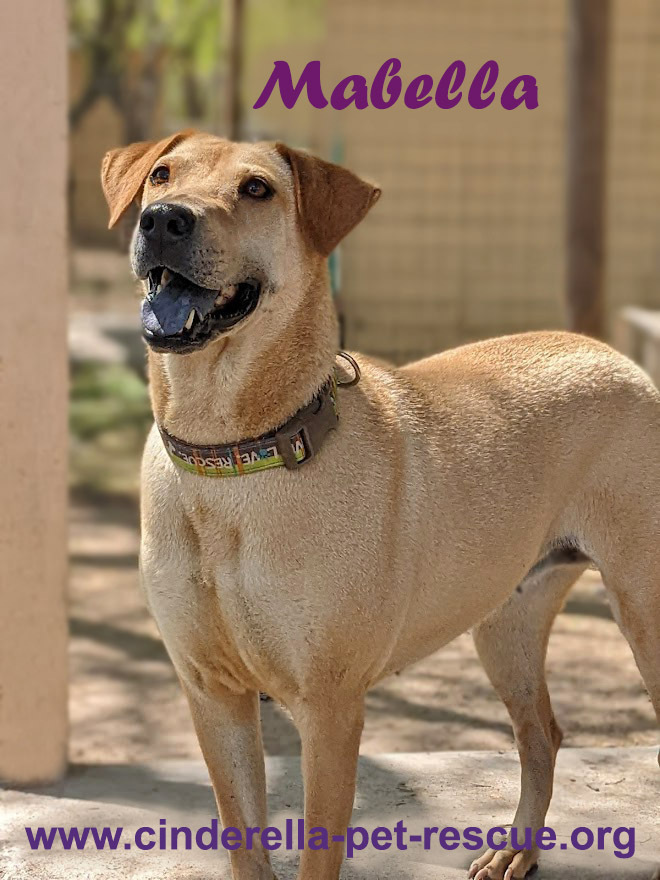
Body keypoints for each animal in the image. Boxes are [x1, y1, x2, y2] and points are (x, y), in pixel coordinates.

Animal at [100, 132, 656, 880]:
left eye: (257, 189)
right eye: (161, 174)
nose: (162, 219)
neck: (233, 456)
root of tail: (613, 354)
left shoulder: (329, 707)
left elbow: (317, 853)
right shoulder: (213, 695)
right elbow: (245, 844)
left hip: (643, 611)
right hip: (505, 623)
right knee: (541, 732)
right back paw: (516, 849)